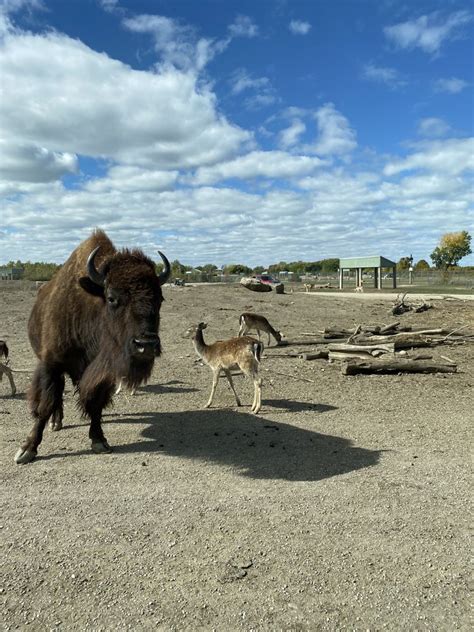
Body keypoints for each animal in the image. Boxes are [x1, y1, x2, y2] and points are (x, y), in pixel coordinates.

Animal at [15, 230, 170, 462]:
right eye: (112, 298)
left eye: (160, 299)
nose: (146, 345)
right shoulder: (51, 363)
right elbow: (45, 404)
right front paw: (27, 449)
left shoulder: (102, 374)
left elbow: (96, 404)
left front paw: (99, 440)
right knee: (56, 394)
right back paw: (56, 422)